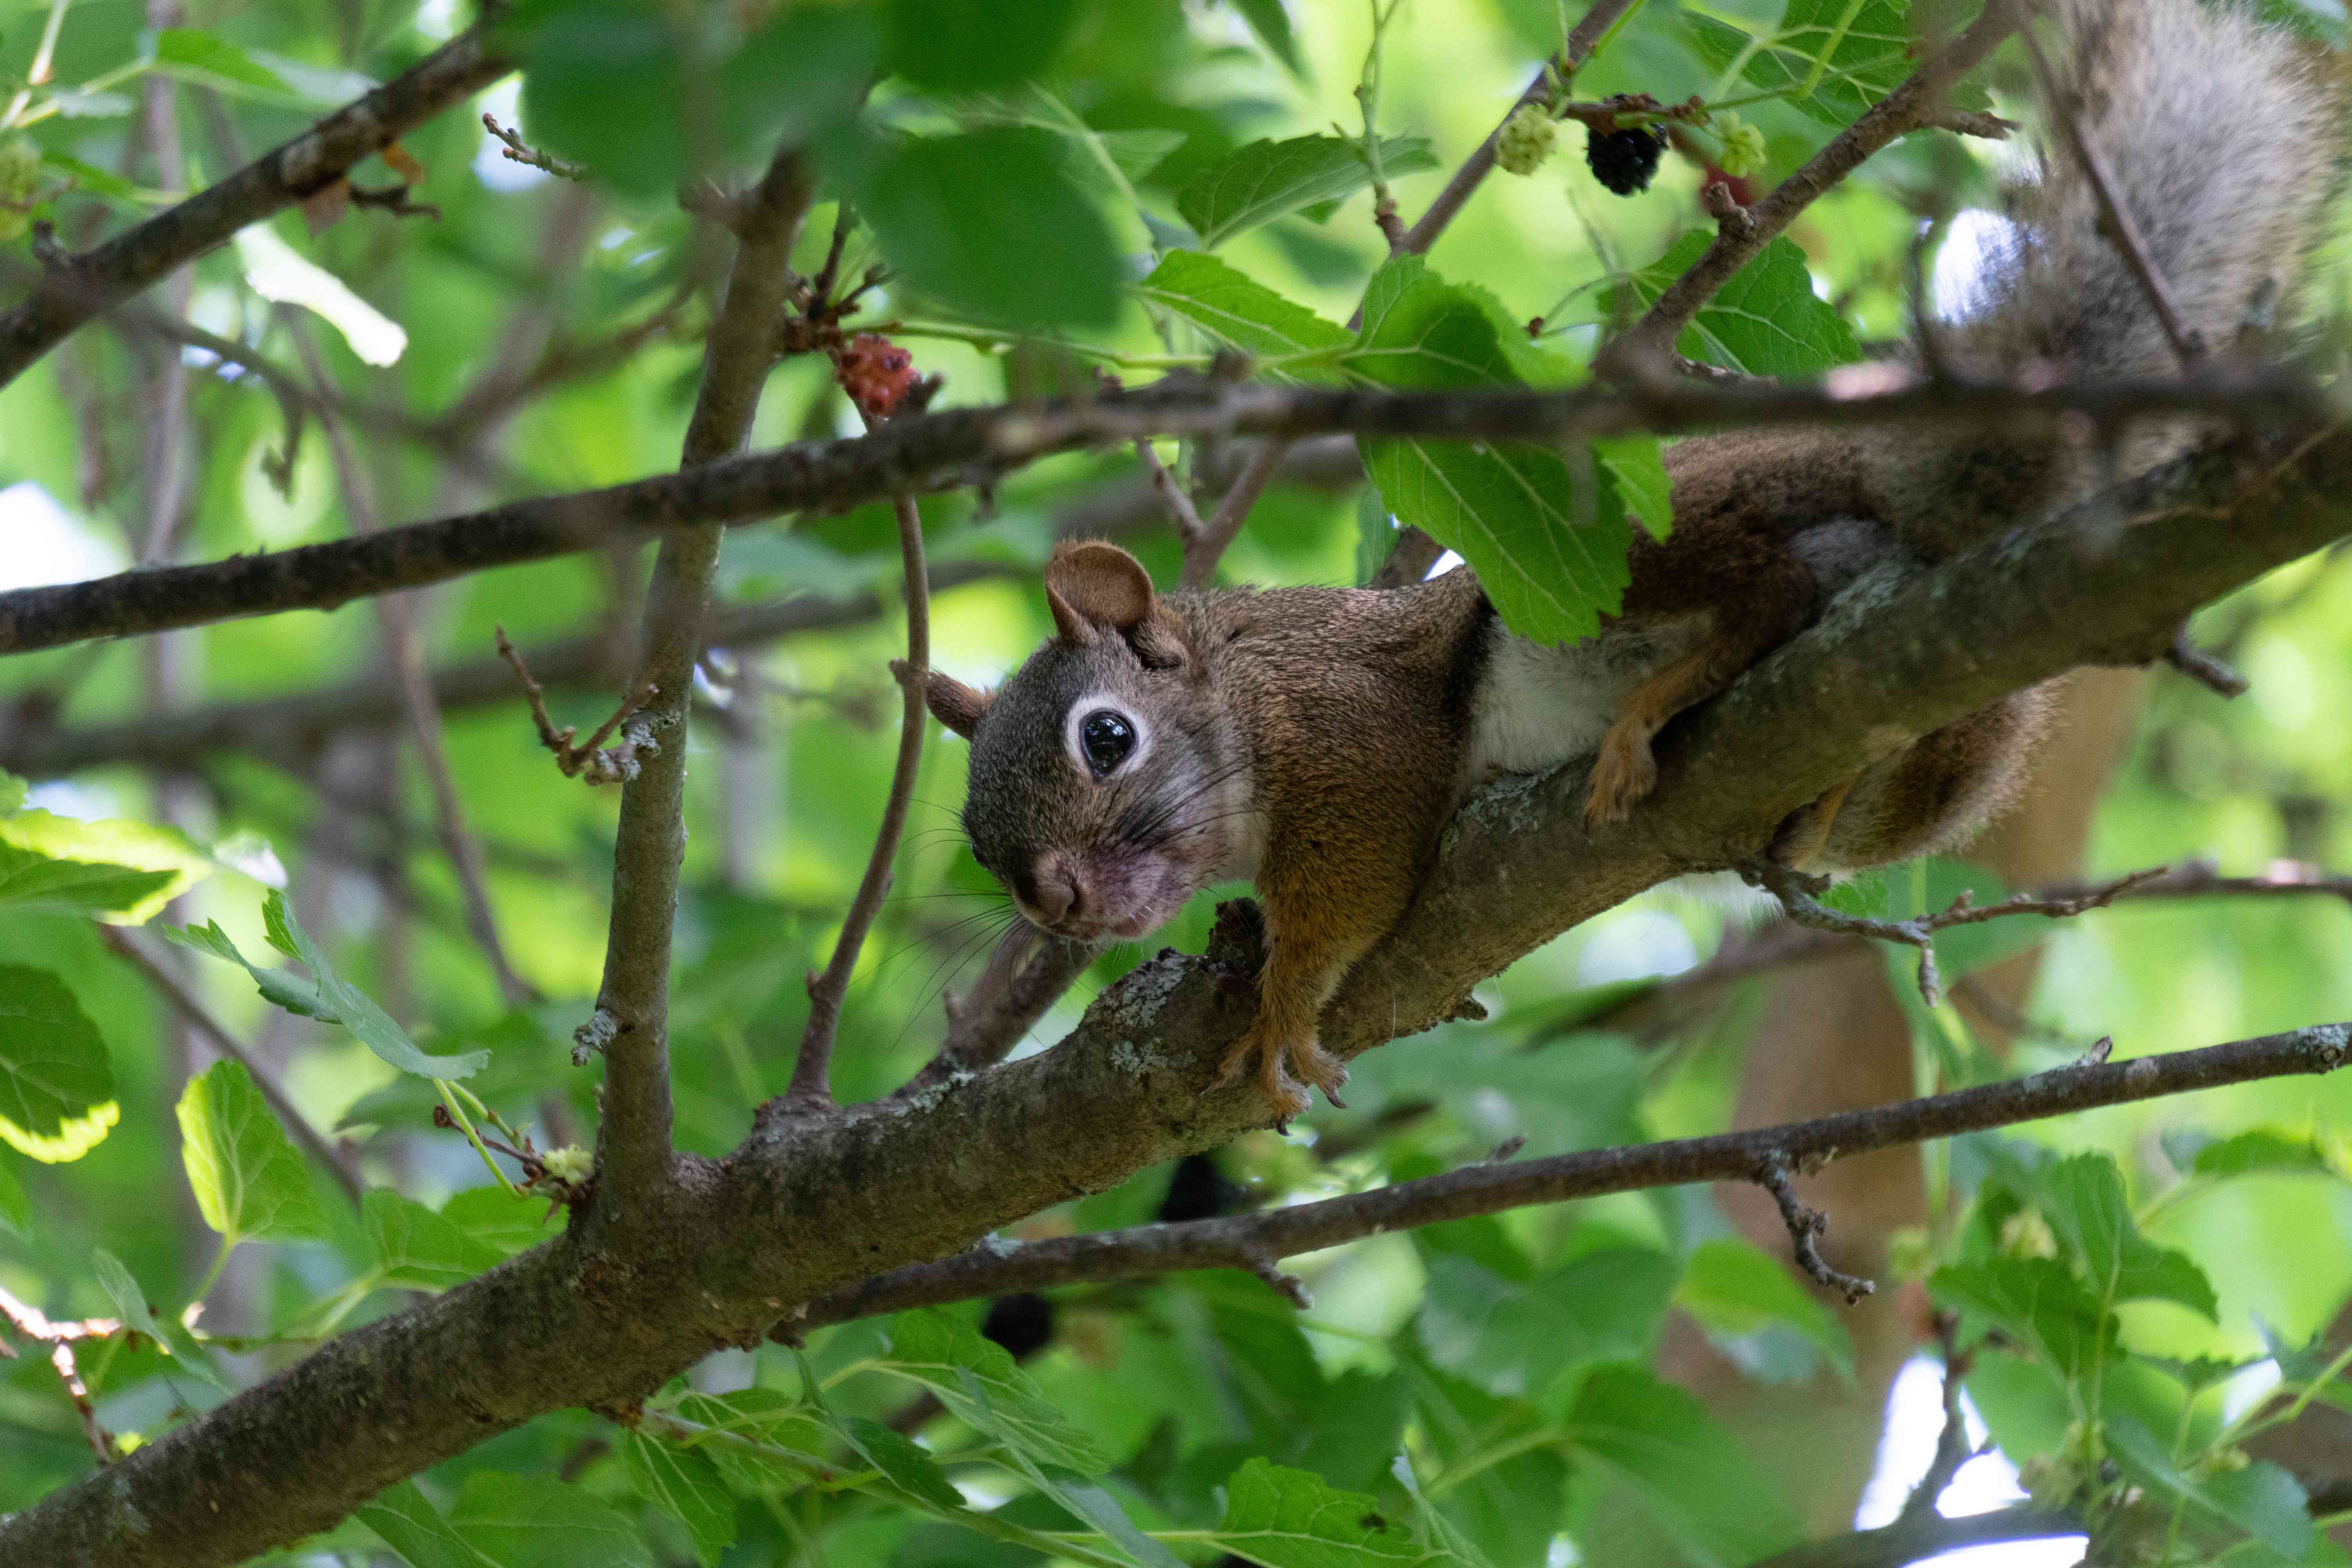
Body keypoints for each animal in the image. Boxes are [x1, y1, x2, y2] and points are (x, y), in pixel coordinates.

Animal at [908, 3, 2343, 1128]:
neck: (1241, 703)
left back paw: (1680, 686)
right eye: (978, 839)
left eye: (1106, 738)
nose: (1055, 902)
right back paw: (1821, 794)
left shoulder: (1351, 727)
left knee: (1769, 587)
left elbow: (1353, 876)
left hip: (1614, 545)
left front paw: (1279, 1002)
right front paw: (1238, 941)